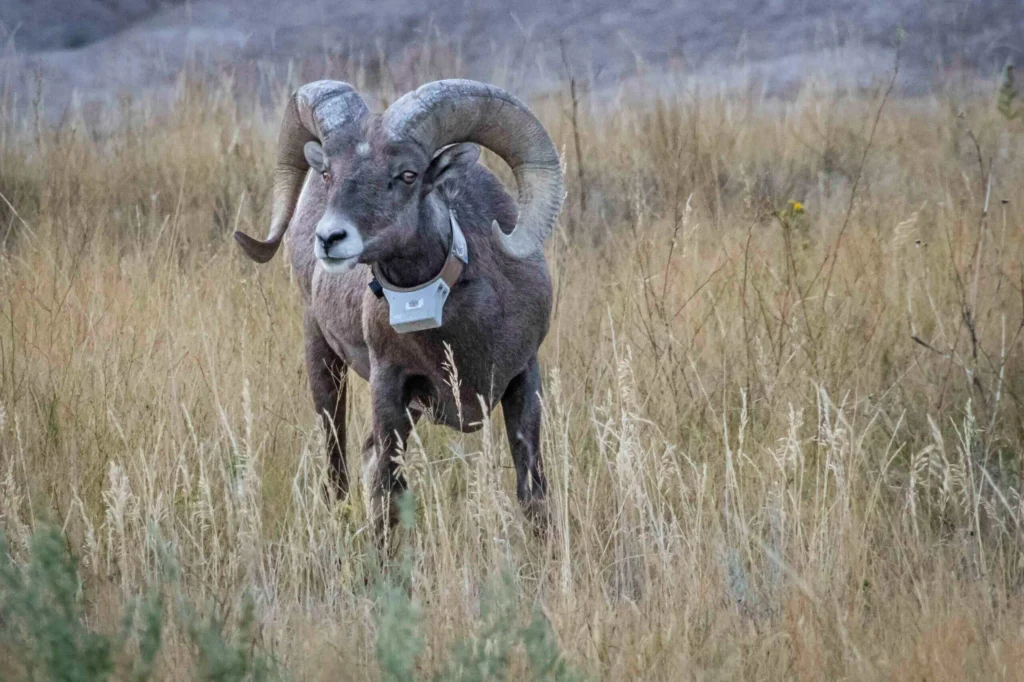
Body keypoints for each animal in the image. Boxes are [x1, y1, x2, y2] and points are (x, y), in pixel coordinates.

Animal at [234, 79, 565, 531]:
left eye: (408, 175)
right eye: (328, 172)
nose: (330, 238)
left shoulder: (523, 380)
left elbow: (534, 496)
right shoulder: (389, 388)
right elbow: (388, 499)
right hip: (323, 360)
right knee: (338, 458)